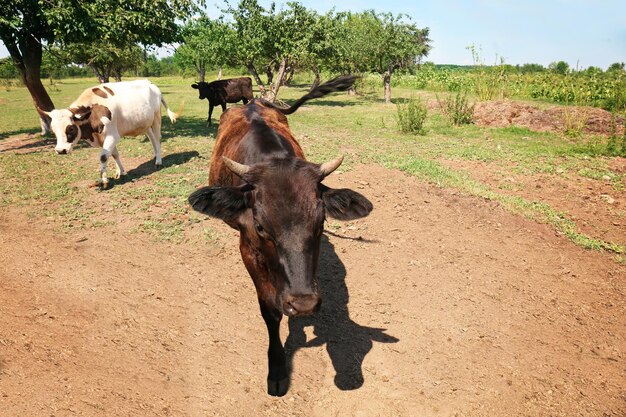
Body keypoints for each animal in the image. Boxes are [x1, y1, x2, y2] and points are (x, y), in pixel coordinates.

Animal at [38, 78, 179, 188]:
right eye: (53, 129)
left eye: (71, 128)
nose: (60, 150)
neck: (93, 111)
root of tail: (150, 83)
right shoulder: (104, 138)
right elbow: (114, 154)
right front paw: (120, 172)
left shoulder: (112, 135)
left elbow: (104, 157)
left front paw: (103, 181)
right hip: (145, 123)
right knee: (152, 138)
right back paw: (155, 155)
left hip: (156, 118)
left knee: (158, 138)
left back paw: (158, 161)